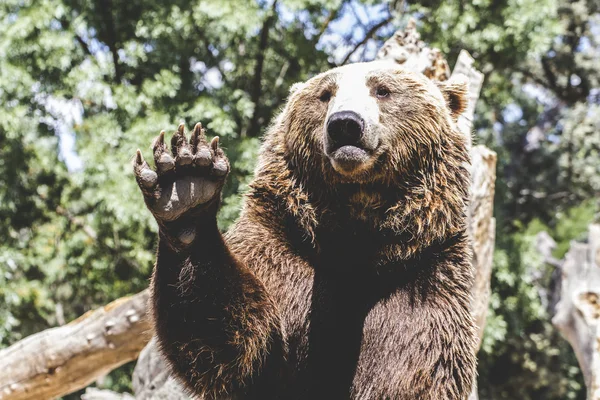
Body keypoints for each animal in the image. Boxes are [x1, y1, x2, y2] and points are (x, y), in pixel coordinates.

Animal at [132, 60, 478, 400]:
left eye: (382, 89)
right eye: (325, 94)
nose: (345, 124)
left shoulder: (422, 278)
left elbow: (414, 369)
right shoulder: (282, 246)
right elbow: (238, 344)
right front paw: (186, 185)